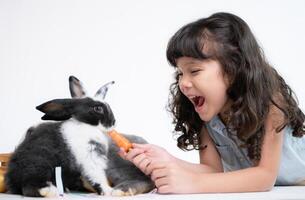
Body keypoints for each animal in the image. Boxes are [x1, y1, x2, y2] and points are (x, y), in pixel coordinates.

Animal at [5, 76, 154, 197]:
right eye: (98, 108)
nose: (113, 122)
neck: (86, 126)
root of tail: (12, 177)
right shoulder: (90, 157)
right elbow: (97, 177)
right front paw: (107, 191)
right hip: (38, 164)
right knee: (29, 186)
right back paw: (50, 191)